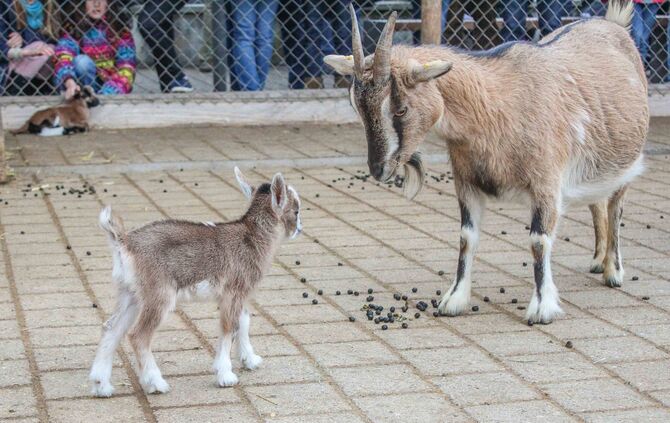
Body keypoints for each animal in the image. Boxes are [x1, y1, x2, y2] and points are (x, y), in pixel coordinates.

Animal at [89, 168, 302, 397]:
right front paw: (225, 375)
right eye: (296, 210)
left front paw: (250, 360)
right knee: (139, 335)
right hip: (159, 294)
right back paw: (156, 383)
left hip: (131, 293)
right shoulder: (233, 291)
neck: (252, 237)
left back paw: (101, 385)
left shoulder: (240, 294)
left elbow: (243, 321)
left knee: (111, 328)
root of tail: (124, 242)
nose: (299, 229)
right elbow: (229, 327)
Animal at [325, 0, 648, 324]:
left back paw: (613, 271)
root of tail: (615, 25)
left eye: (401, 109)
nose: (379, 170)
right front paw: (455, 299)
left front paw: (542, 307)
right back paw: (597, 260)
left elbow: (539, 240)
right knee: (597, 204)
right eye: (357, 107)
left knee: (615, 207)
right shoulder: (466, 181)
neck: (495, 105)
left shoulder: (546, 182)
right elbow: (467, 237)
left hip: (627, 163)